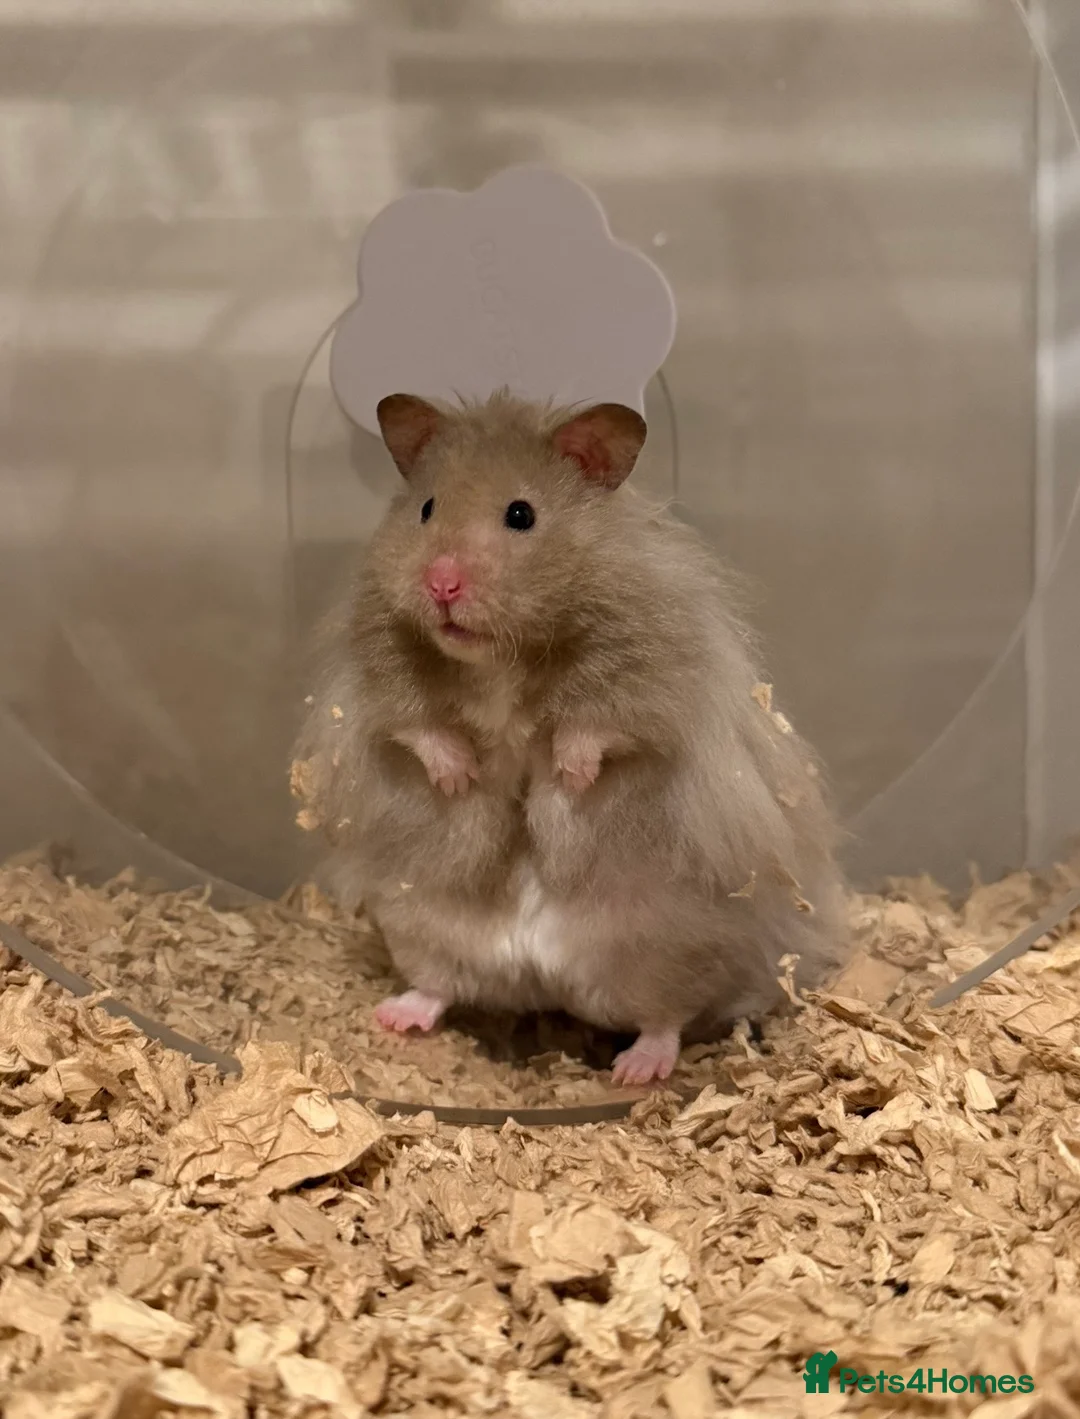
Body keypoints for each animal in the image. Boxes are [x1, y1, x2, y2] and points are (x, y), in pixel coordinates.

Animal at [293, 389, 850, 1086]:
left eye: (521, 514)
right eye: (426, 509)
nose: (440, 584)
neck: (503, 654)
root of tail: (541, 979)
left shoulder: (646, 670)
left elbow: (600, 725)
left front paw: (569, 775)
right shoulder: (380, 671)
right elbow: (416, 725)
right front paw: (459, 776)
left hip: (666, 948)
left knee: (666, 1017)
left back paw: (638, 1070)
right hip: (420, 927)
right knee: (440, 986)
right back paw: (395, 1016)